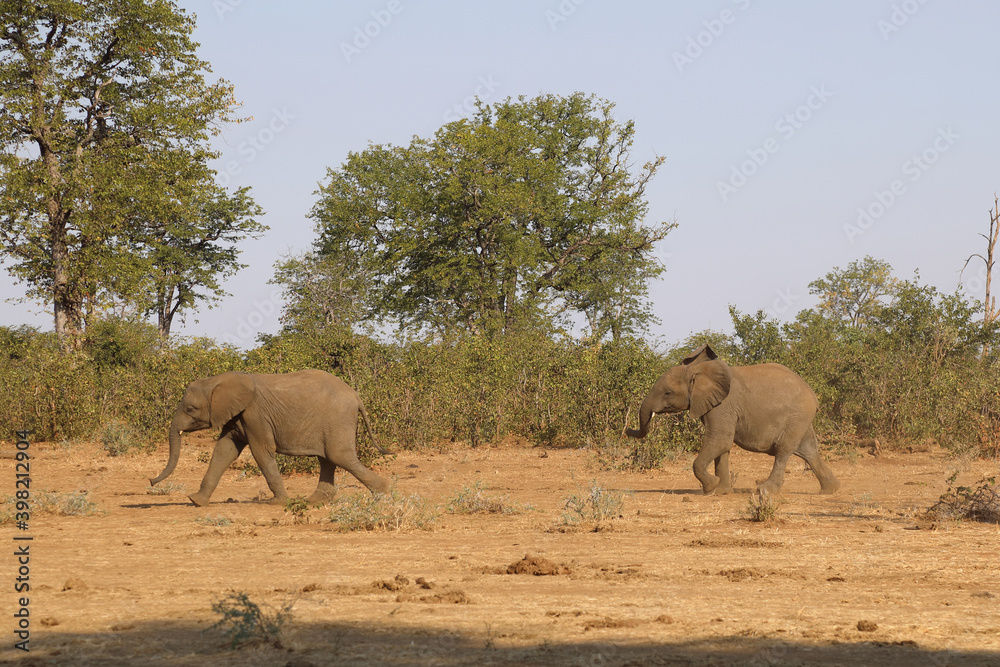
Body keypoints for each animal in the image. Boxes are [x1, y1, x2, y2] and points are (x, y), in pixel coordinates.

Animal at [149, 369, 391, 507]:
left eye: (190, 409)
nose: (151, 481)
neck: (218, 380)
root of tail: (356, 396)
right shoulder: (237, 415)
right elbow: (224, 451)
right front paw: (196, 501)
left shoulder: (254, 414)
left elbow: (261, 452)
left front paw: (278, 502)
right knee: (328, 460)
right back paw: (315, 501)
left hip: (338, 419)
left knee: (338, 456)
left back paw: (383, 492)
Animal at [625, 344, 840, 496]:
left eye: (668, 393)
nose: (627, 430)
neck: (698, 371)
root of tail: (813, 395)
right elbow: (723, 446)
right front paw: (721, 491)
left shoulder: (722, 406)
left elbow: (720, 440)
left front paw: (711, 487)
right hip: (801, 418)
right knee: (808, 450)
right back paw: (831, 489)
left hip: (797, 415)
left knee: (784, 450)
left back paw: (765, 491)